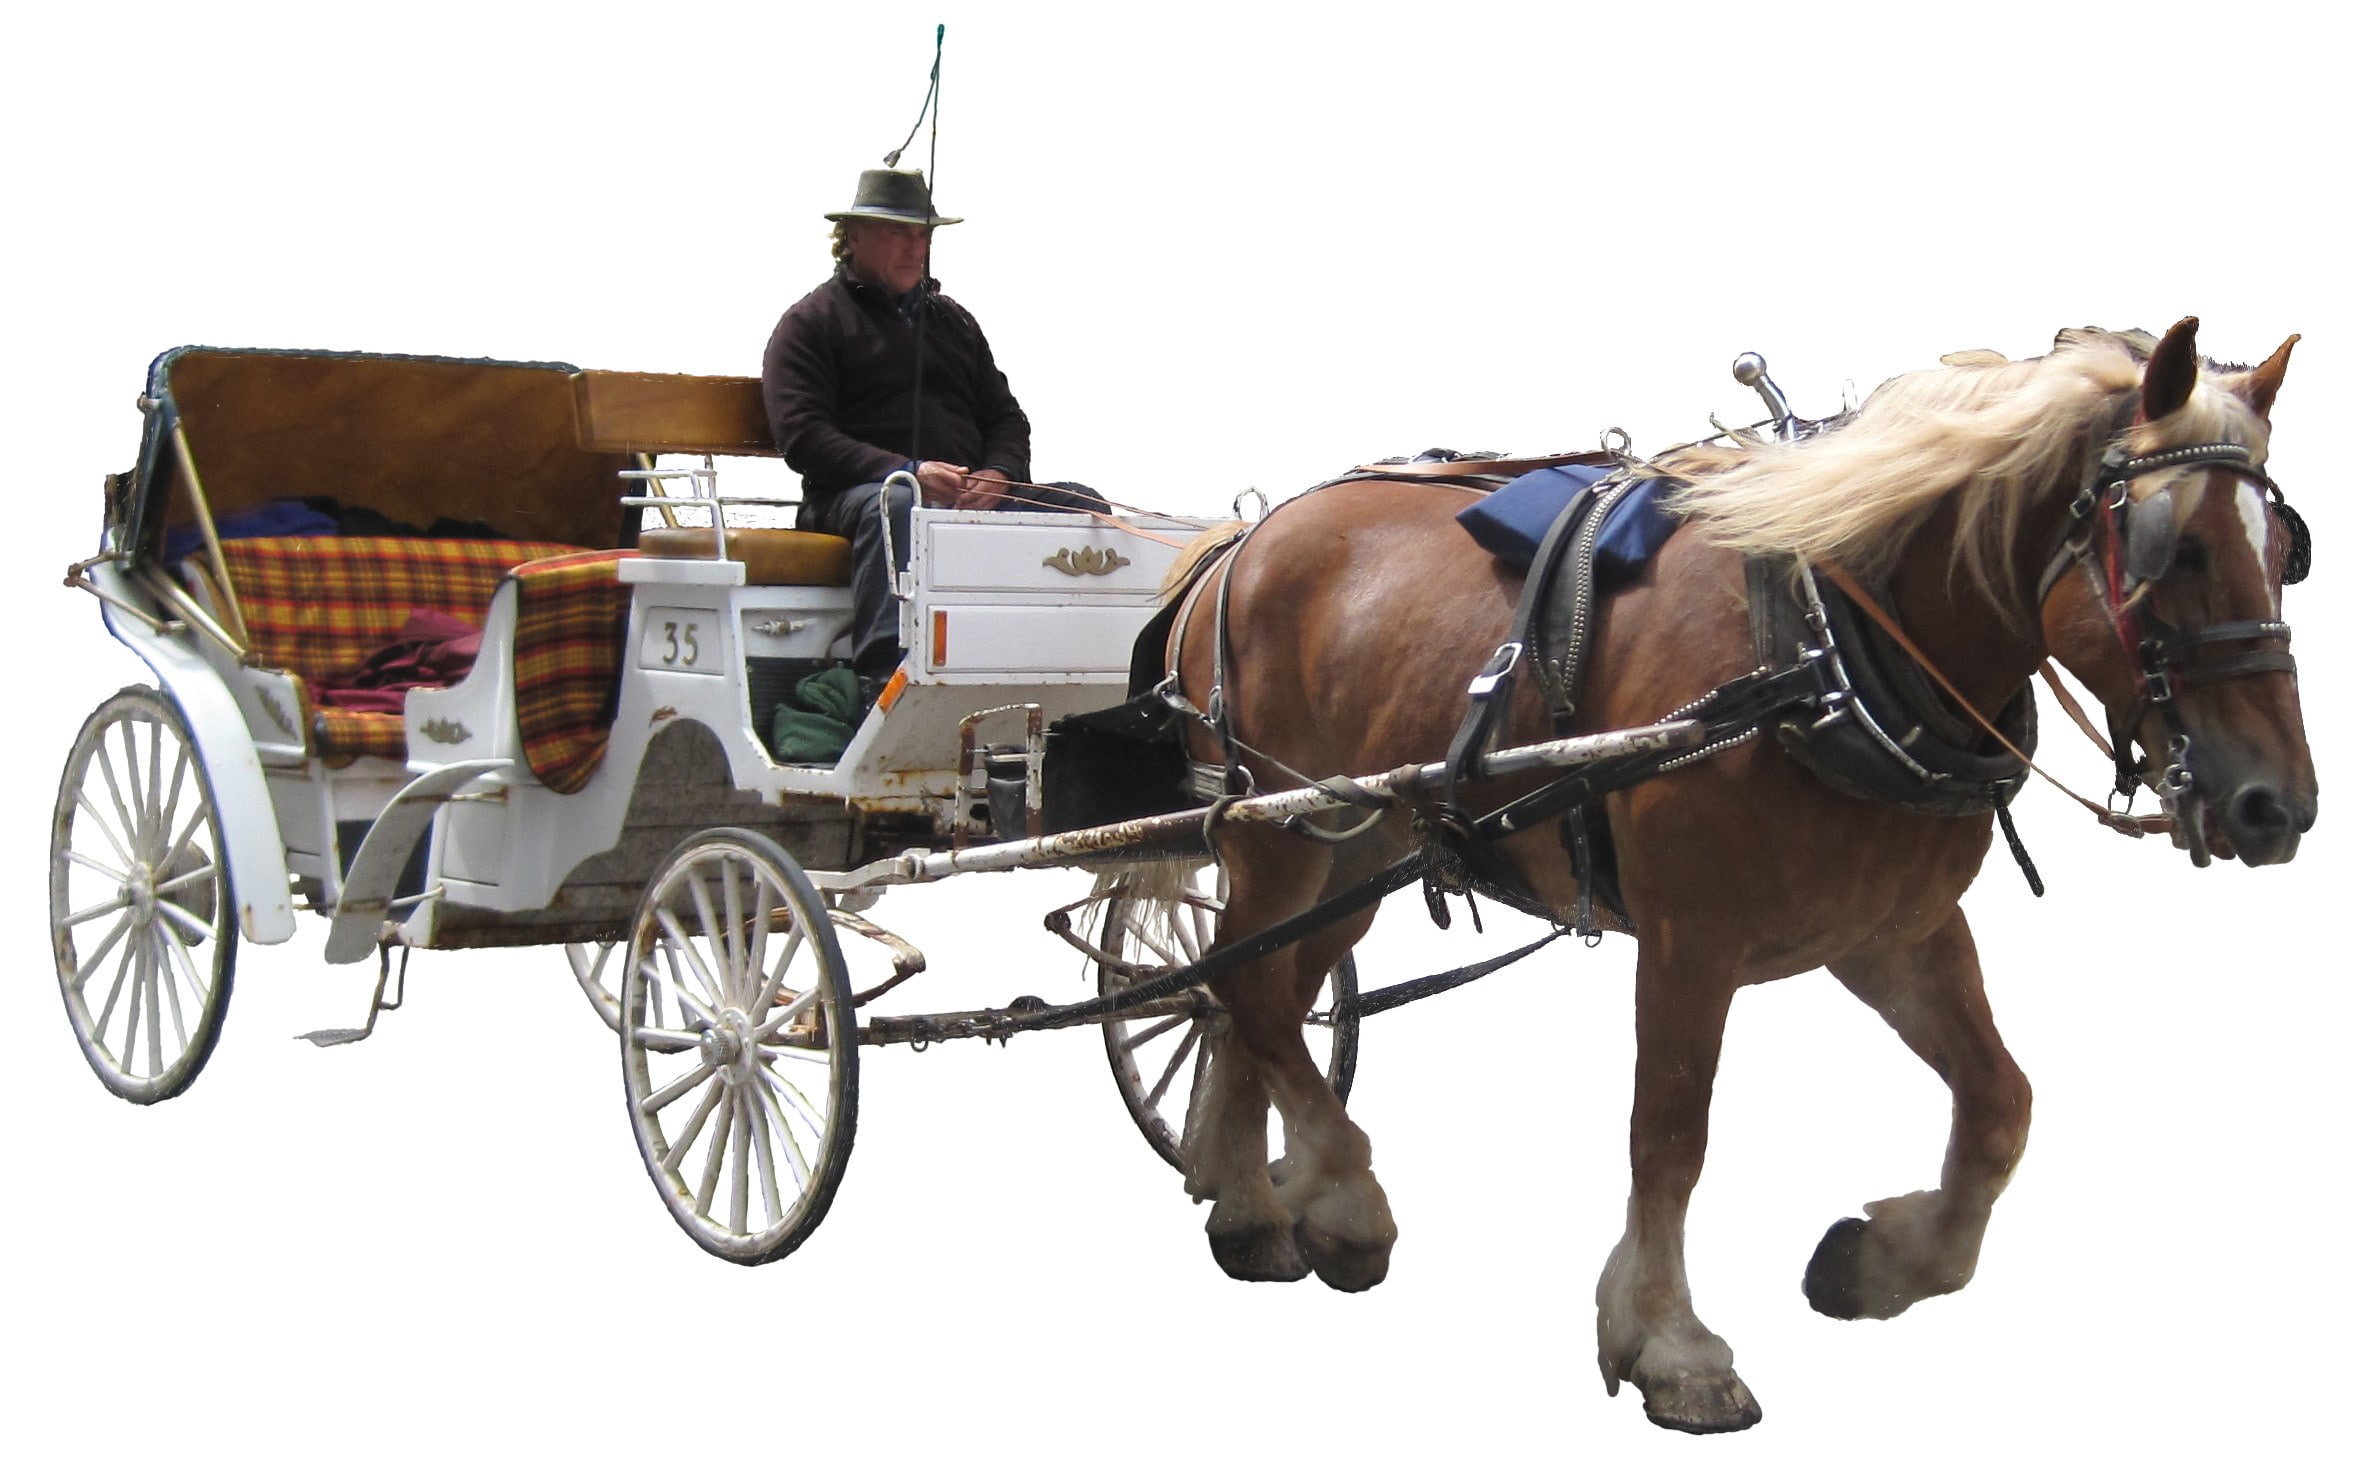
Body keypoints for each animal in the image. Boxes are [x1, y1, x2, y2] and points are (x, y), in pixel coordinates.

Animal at [1155, 318, 2314, 1432]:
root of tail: (1242, 538)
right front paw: (1670, 1344)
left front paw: (1885, 1263)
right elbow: (1670, 1133)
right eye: (2173, 546)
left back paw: (1258, 1200)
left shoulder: (1892, 931)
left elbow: (1999, 1102)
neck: (1822, 656)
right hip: (1277, 829)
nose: (2279, 806)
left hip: (1359, 838)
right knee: (1248, 982)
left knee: (1259, 993)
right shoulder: (1688, 941)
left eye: (2286, 548)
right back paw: (1339, 1200)